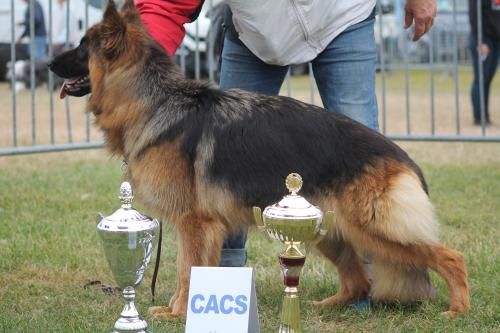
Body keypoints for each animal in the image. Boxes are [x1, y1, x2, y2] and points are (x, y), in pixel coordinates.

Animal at [47, 0, 468, 320]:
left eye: (82, 48)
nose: (49, 65)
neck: (153, 102)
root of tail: (403, 157)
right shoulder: (203, 227)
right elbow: (194, 268)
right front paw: (184, 308)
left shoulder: (193, 224)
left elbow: (186, 270)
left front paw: (178, 312)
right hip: (332, 231)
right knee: (358, 280)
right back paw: (327, 306)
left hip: (375, 228)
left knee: (451, 257)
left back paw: (457, 310)